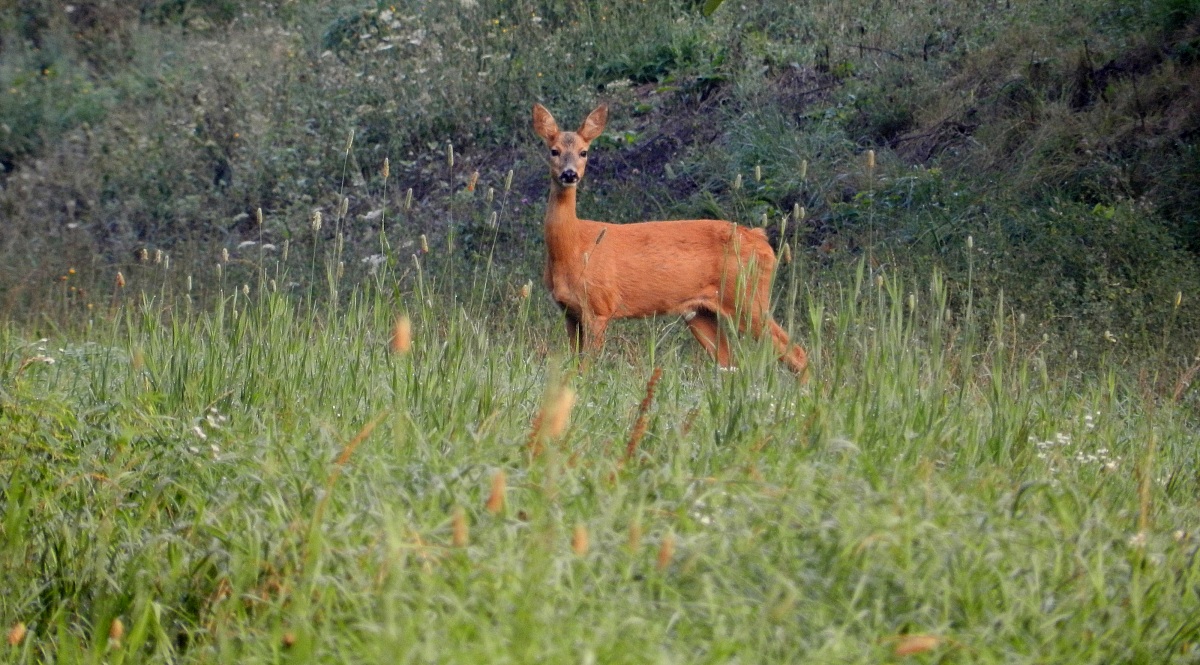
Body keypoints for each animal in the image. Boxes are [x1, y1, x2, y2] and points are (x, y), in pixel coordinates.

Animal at [532, 103, 808, 378]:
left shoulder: (599, 306)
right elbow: (574, 366)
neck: (574, 248)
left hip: (747, 297)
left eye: (584, 152)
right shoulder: (569, 312)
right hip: (702, 313)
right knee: (729, 362)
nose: (570, 174)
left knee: (796, 353)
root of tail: (763, 243)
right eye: (554, 151)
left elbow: (587, 368)